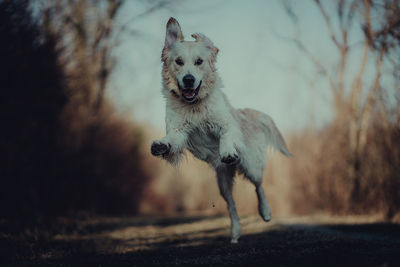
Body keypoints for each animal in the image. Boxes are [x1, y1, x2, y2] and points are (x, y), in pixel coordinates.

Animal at [151, 17, 290, 245]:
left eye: (199, 61)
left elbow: (226, 134)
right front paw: (161, 145)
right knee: (231, 205)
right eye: (179, 61)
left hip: (251, 166)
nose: (188, 79)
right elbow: (172, 140)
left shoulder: (226, 123)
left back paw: (265, 212)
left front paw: (227, 151)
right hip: (222, 181)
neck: (194, 106)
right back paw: (235, 232)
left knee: (259, 186)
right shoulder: (178, 131)